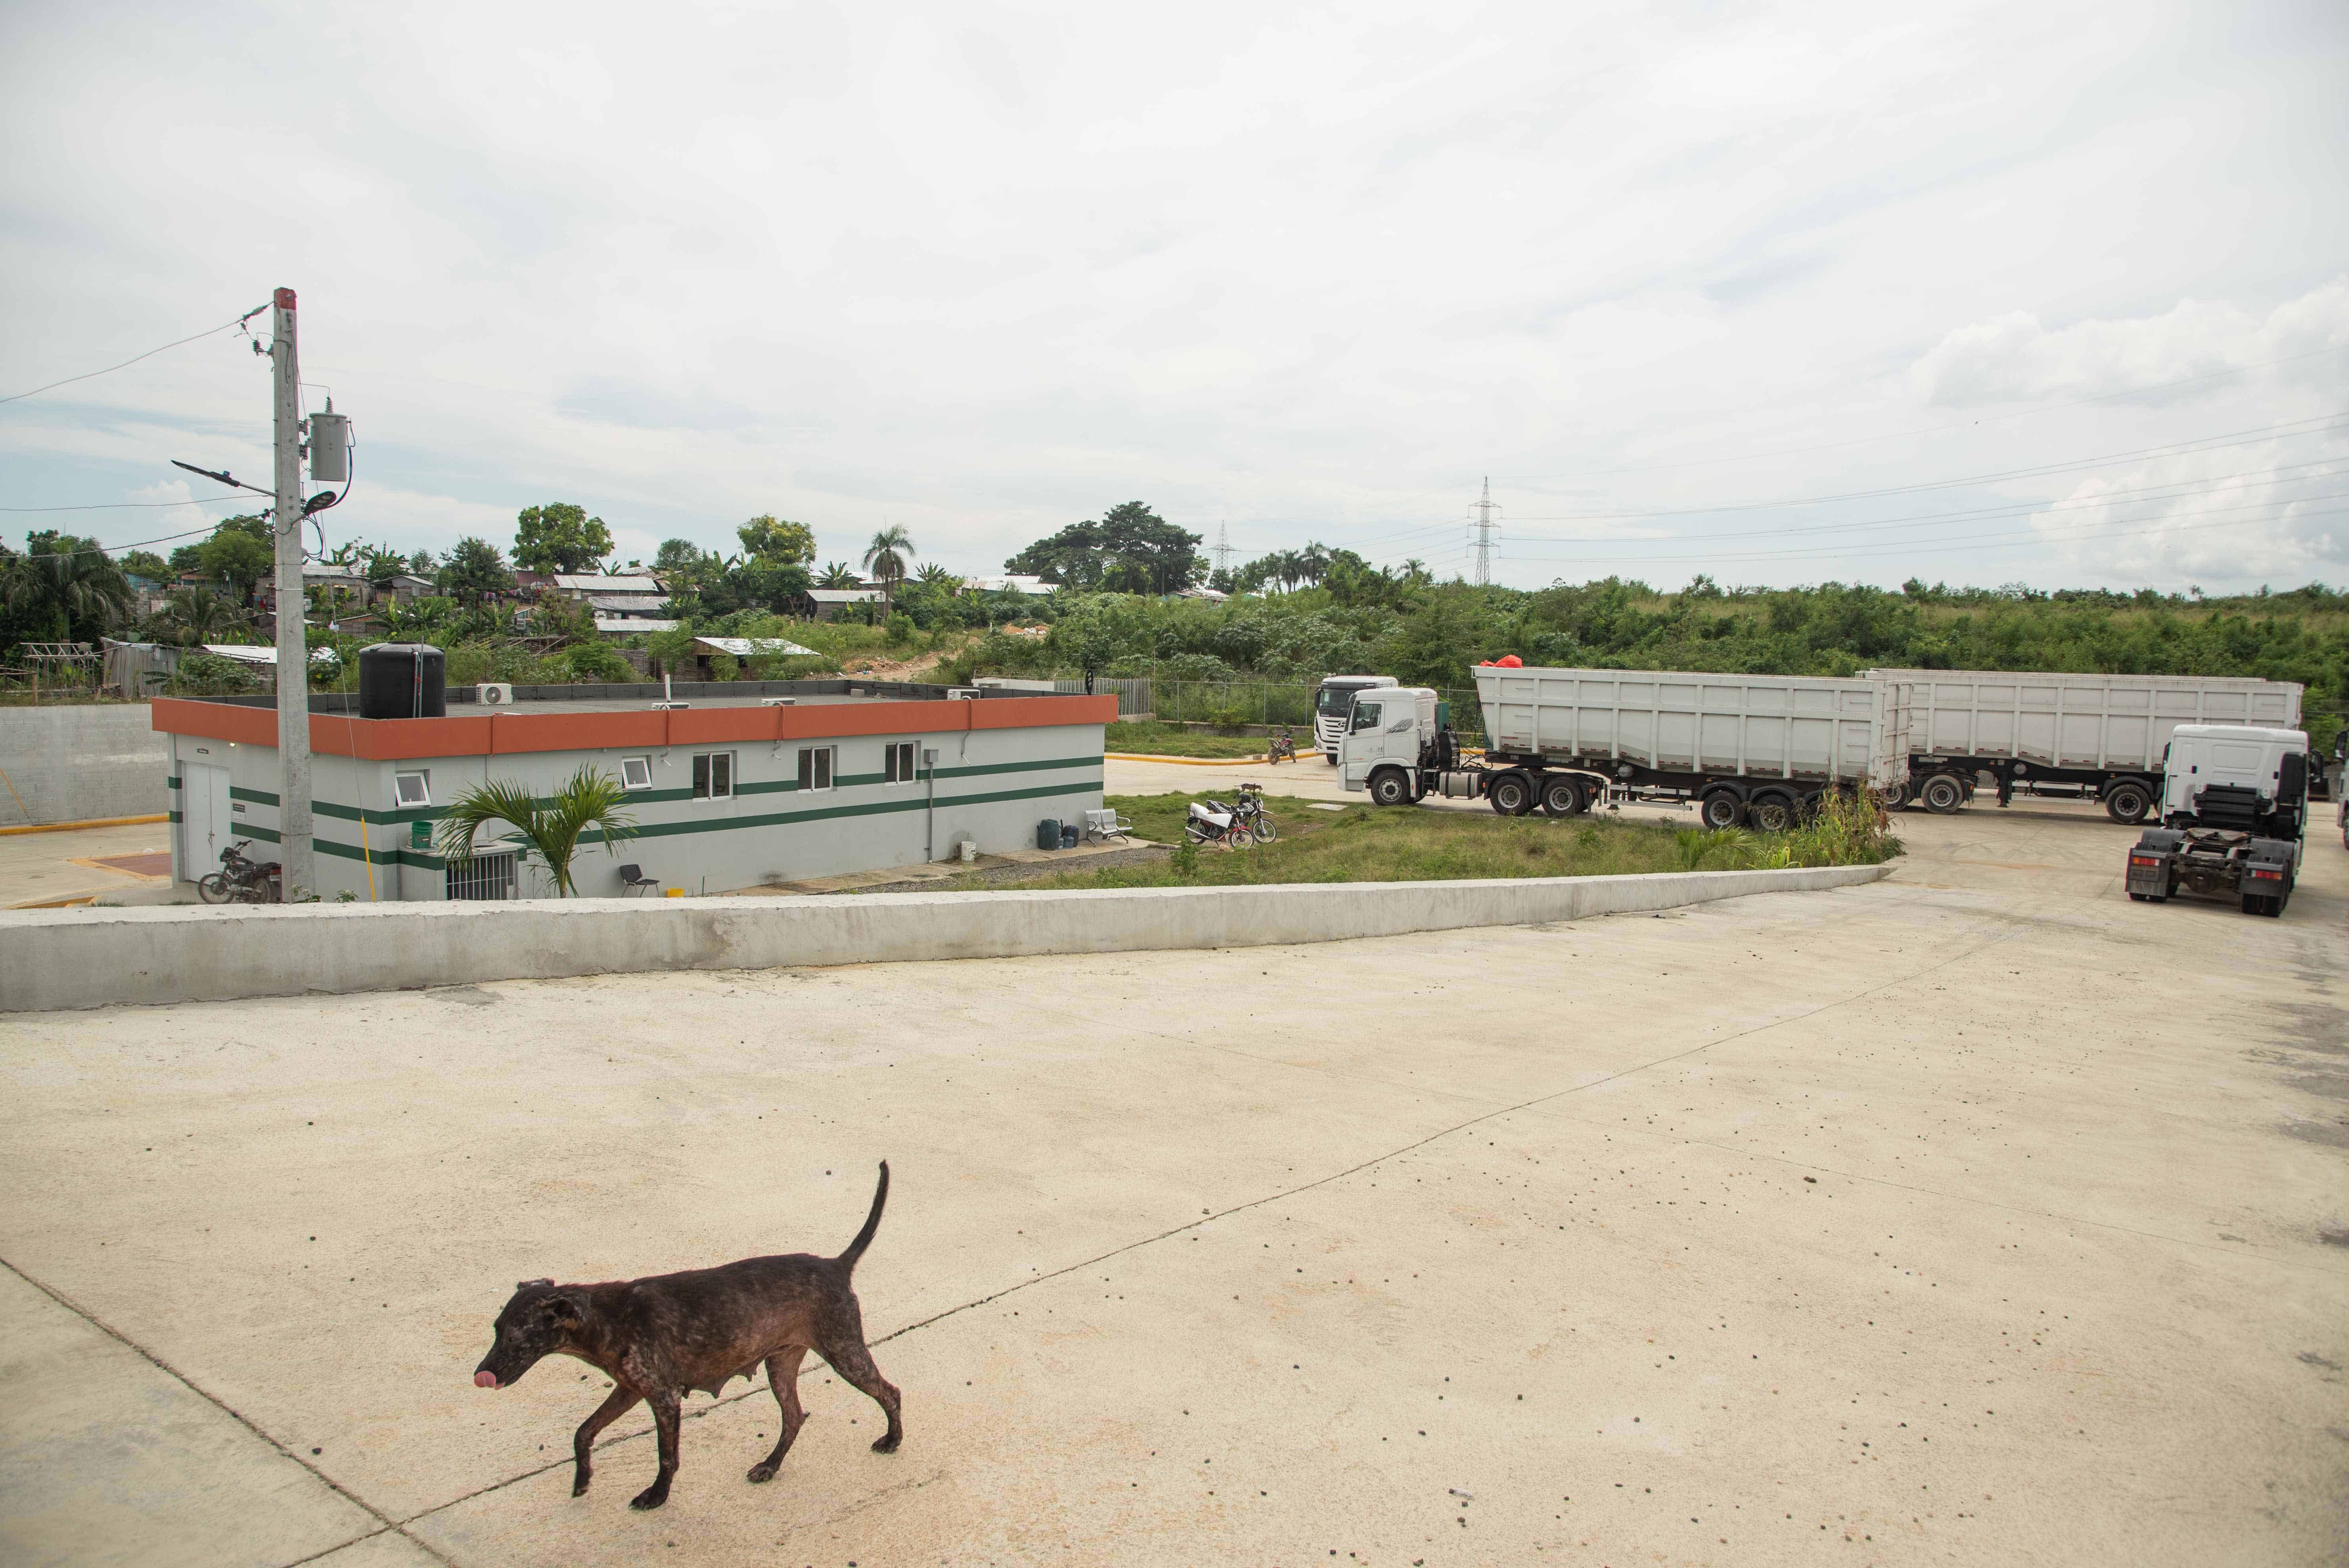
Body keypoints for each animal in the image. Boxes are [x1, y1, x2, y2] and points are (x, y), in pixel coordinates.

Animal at [477, 1164, 907, 1502]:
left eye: (515, 1337)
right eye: (496, 1330)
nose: (483, 1374)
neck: (605, 1317)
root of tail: (837, 1265)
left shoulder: (663, 1398)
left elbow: (667, 1455)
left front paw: (657, 1495)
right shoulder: (629, 1390)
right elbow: (583, 1432)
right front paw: (583, 1479)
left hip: (845, 1352)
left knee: (890, 1393)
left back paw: (892, 1440)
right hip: (781, 1365)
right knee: (794, 1418)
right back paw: (770, 1465)